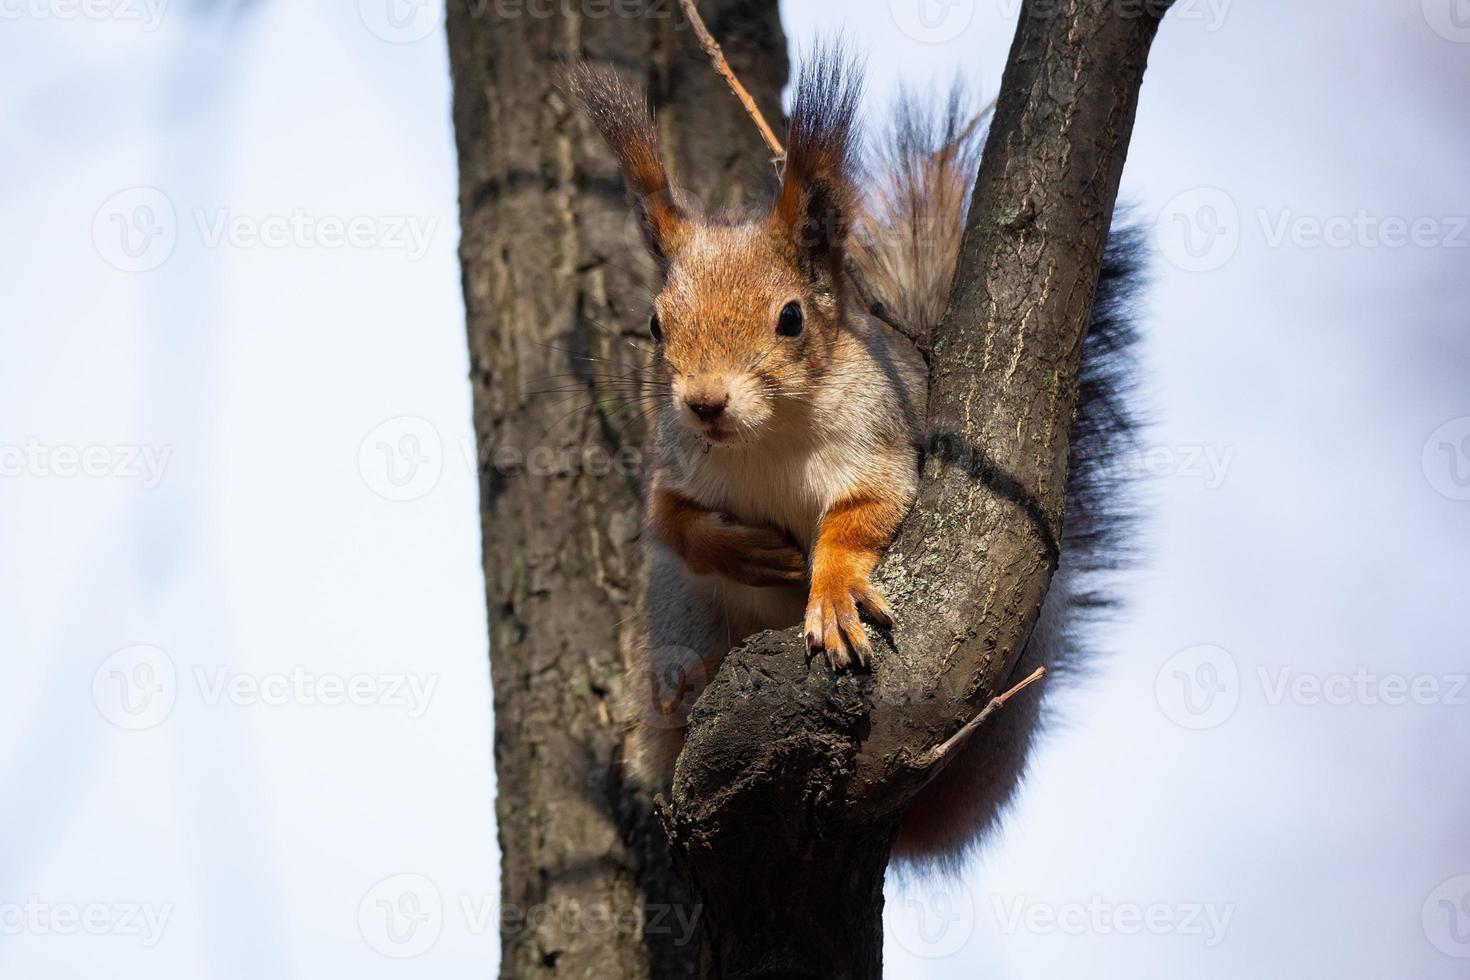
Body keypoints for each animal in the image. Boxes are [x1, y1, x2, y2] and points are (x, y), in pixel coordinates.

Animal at [567, 49, 1140, 869]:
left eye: (791, 318)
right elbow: (673, 523)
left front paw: (831, 593)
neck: (767, 440)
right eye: (654, 323)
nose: (705, 403)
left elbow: (863, 516)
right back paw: (690, 685)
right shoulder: (675, 468)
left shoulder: (881, 446)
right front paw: (746, 551)